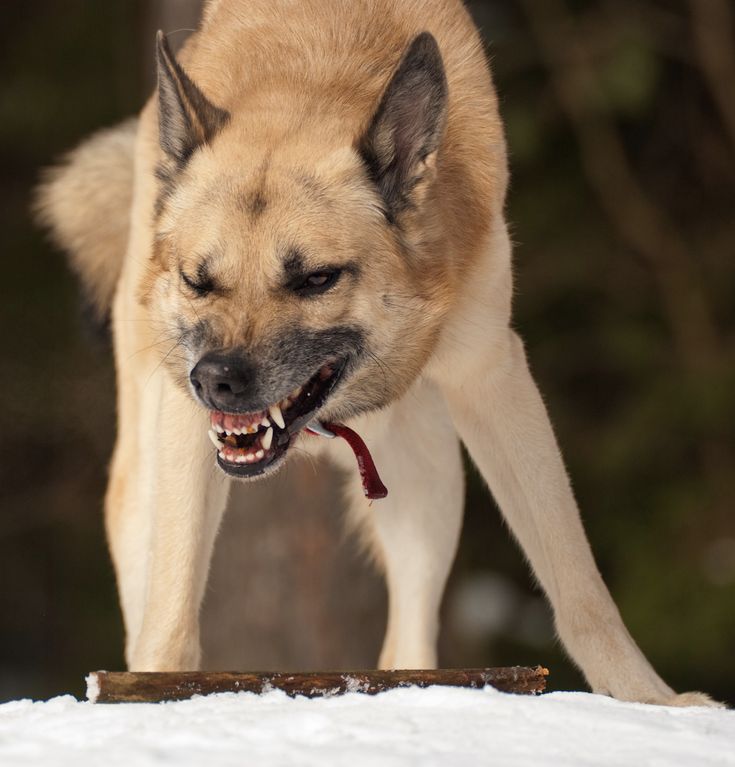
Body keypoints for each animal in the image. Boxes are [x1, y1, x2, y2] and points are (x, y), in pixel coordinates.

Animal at [37, 0, 716, 708]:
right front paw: (157, 693)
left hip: (430, 475)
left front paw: (653, 703)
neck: (314, 64)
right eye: (199, 280)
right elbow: (170, 610)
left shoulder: (492, 375)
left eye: (315, 279)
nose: (216, 381)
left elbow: (578, 582)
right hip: (145, 477)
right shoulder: (183, 429)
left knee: (406, 643)